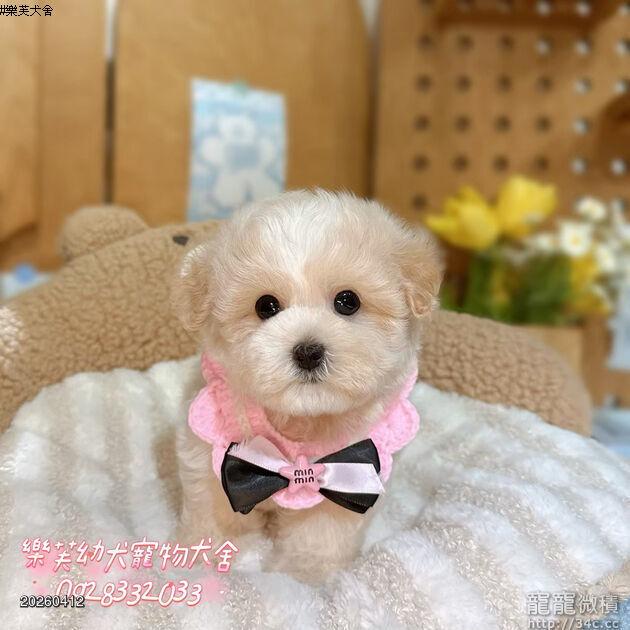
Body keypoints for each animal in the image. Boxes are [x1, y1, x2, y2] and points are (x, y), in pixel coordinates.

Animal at [172, 190, 442, 582]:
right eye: (265, 306)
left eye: (348, 301)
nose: (308, 351)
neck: (302, 420)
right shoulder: (214, 450)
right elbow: (215, 506)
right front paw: (206, 554)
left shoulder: (354, 472)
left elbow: (321, 530)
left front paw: (306, 571)